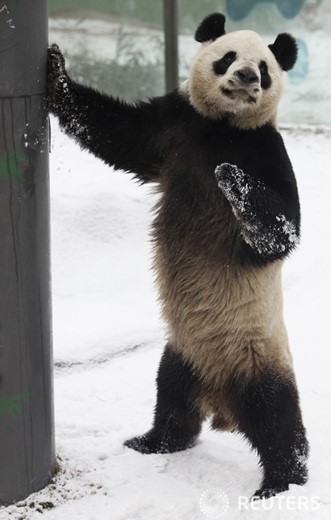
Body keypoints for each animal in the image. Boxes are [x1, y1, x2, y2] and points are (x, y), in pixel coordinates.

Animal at [48, 13, 310, 500]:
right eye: (228, 56)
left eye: (264, 69)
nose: (246, 78)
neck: (224, 126)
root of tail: (221, 400)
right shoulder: (175, 125)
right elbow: (118, 134)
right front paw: (55, 69)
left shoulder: (266, 150)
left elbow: (283, 231)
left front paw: (230, 177)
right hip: (184, 350)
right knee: (171, 397)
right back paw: (152, 441)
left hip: (258, 354)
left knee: (278, 419)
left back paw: (281, 484)